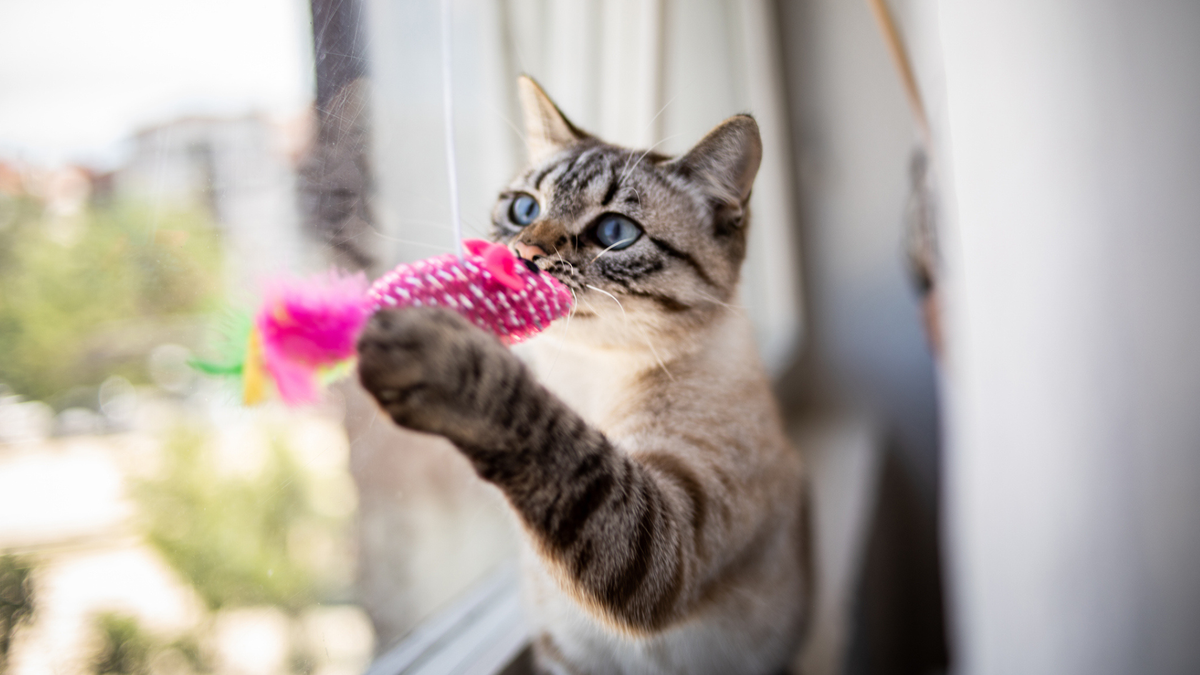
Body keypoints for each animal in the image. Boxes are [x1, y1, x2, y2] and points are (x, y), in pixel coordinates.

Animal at [355, 76, 806, 667]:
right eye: (524, 209)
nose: (522, 254)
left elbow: (548, 434)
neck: (586, 376)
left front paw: (439, 349)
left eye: (614, 230)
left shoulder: (673, 535)